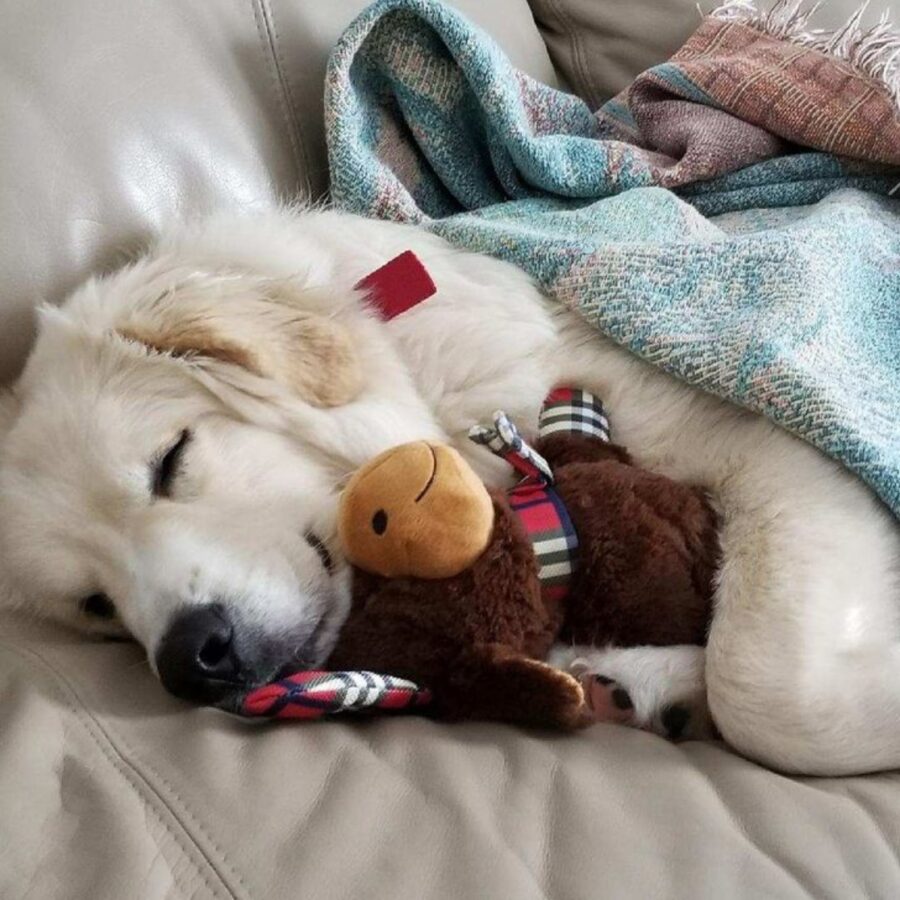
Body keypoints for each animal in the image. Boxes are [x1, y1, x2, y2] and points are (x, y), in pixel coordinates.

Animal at [0, 209, 896, 772]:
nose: (193, 660)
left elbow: (761, 684)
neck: (425, 383)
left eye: (171, 460)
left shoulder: (769, 437)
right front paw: (656, 682)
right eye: (94, 606)